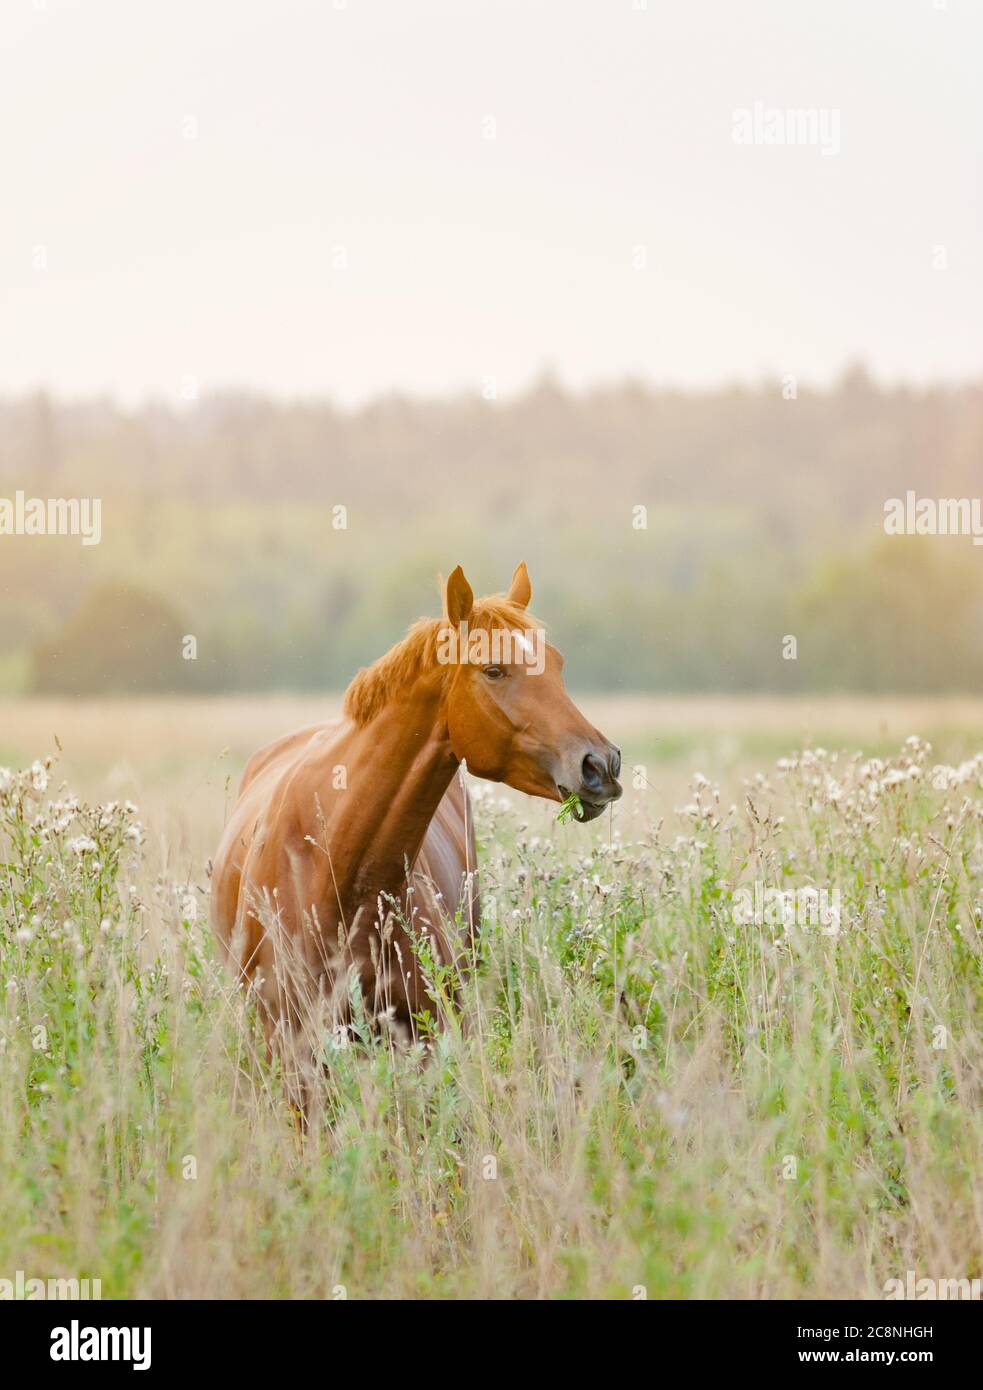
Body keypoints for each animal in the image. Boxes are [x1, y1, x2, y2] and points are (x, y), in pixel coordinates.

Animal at [209, 558, 622, 1100]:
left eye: (556, 663)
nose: (601, 765)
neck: (335, 870)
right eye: (494, 669)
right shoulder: (290, 1047)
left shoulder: (423, 1039)